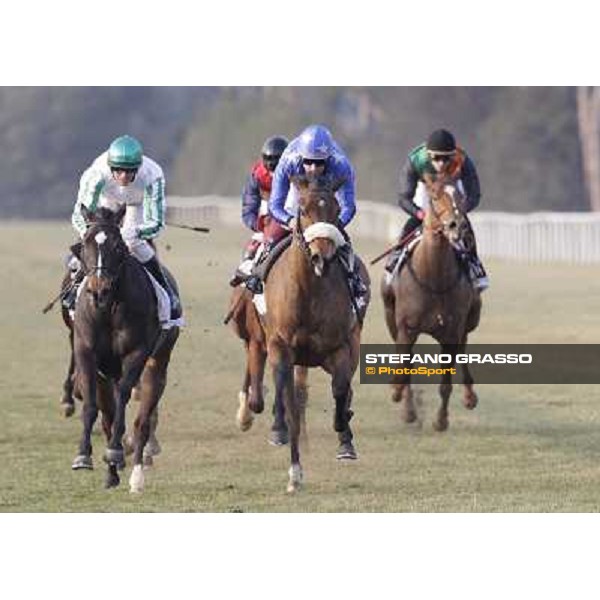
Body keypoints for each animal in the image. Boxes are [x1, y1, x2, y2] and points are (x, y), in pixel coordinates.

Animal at [70, 206, 178, 492]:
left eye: (118, 246)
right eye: (85, 243)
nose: (99, 289)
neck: (108, 309)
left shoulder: (136, 354)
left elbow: (123, 403)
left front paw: (116, 453)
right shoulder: (86, 353)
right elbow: (93, 407)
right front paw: (83, 455)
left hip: (156, 364)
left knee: (142, 420)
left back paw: (136, 475)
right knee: (108, 414)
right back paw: (112, 473)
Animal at [254, 175, 370, 492]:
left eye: (335, 209)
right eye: (303, 209)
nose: (322, 256)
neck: (309, 291)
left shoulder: (341, 348)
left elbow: (341, 391)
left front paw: (344, 429)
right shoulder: (281, 349)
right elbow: (291, 405)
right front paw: (294, 473)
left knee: (345, 389)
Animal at [380, 173, 482, 432]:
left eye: (460, 195)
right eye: (434, 197)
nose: (457, 225)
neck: (433, 278)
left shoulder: (452, 331)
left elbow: (446, 382)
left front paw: (441, 420)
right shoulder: (406, 328)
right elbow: (404, 367)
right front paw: (402, 400)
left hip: (470, 320)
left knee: (463, 350)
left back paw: (469, 396)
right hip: (391, 317)